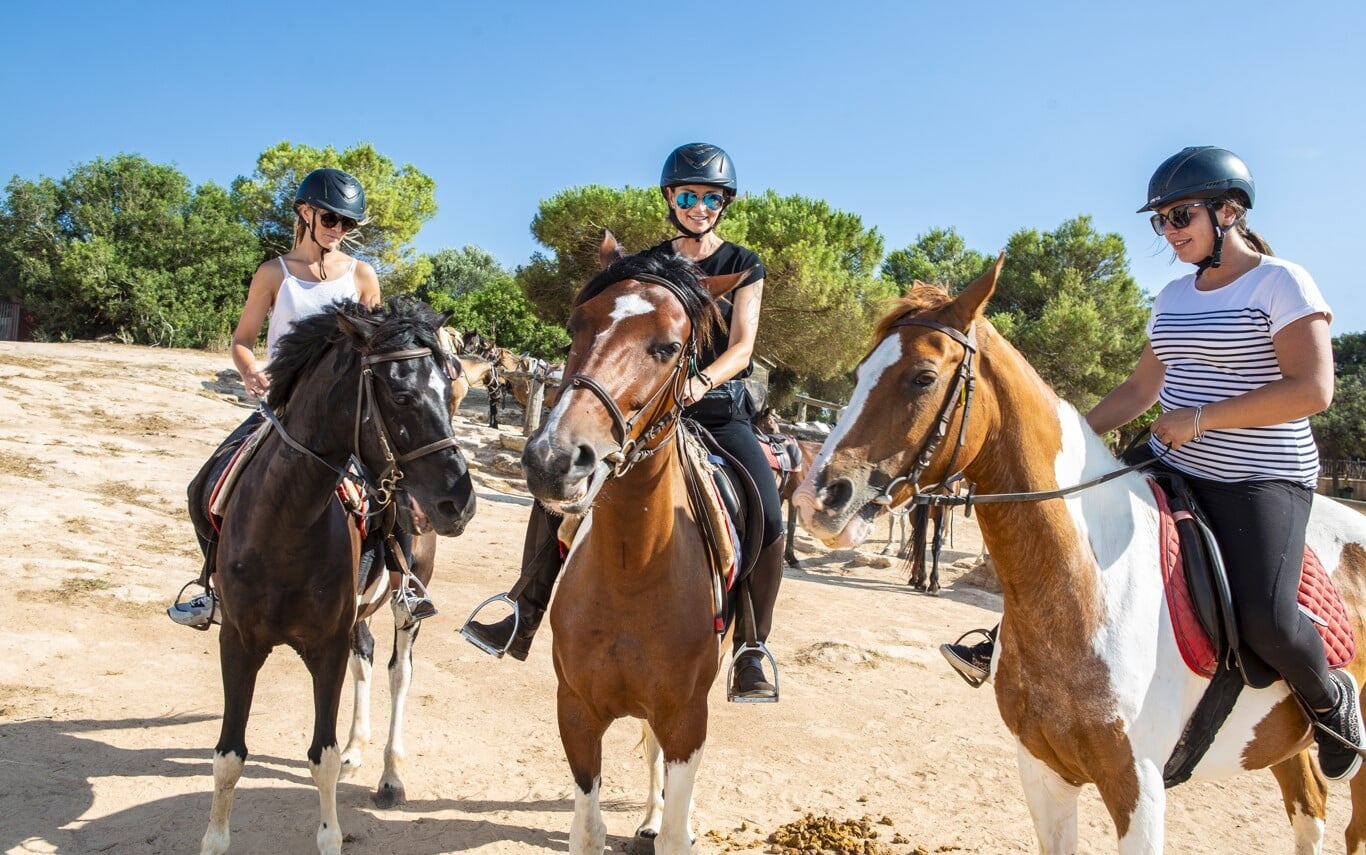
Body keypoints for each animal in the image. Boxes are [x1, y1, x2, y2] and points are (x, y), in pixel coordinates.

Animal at [198, 299, 478, 855]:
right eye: (401, 394)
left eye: (452, 393)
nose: (459, 503)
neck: (284, 524)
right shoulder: (237, 641)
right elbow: (228, 757)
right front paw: (215, 839)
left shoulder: (324, 646)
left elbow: (319, 759)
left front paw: (329, 836)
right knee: (365, 654)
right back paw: (356, 746)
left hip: (406, 605)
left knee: (398, 672)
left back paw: (390, 777)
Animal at [520, 233, 751, 855]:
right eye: (576, 325)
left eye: (669, 347)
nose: (554, 459)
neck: (634, 568)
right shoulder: (575, 712)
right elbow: (587, 830)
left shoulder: (687, 719)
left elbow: (674, 831)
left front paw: (675, 825)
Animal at [793, 257, 1366, 854]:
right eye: (859, 374)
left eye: (923, 377)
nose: (816, 500)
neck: (1088, 590)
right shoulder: (1042, 771)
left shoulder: (1138, 789)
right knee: (1310, 810)